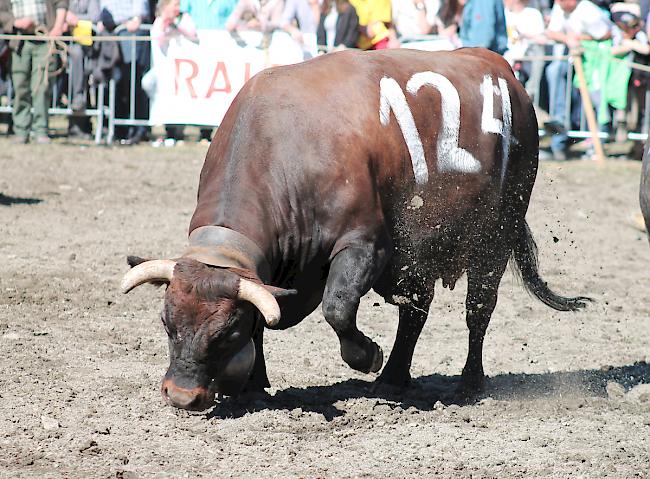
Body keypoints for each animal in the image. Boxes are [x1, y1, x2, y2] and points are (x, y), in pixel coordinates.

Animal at [121, 47, 588, 412]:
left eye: (225, 332)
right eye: (166, 322)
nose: (181, 396)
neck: (287, 149)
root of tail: (500, 67)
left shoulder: (365, 246)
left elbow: (338, 307)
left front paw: (367, 356)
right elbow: (265, 321)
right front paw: (254, 386)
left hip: (494, 237)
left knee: (478, 312)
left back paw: (467, 384)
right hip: (420, 252)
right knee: (415, 312)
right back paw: (395, 379)